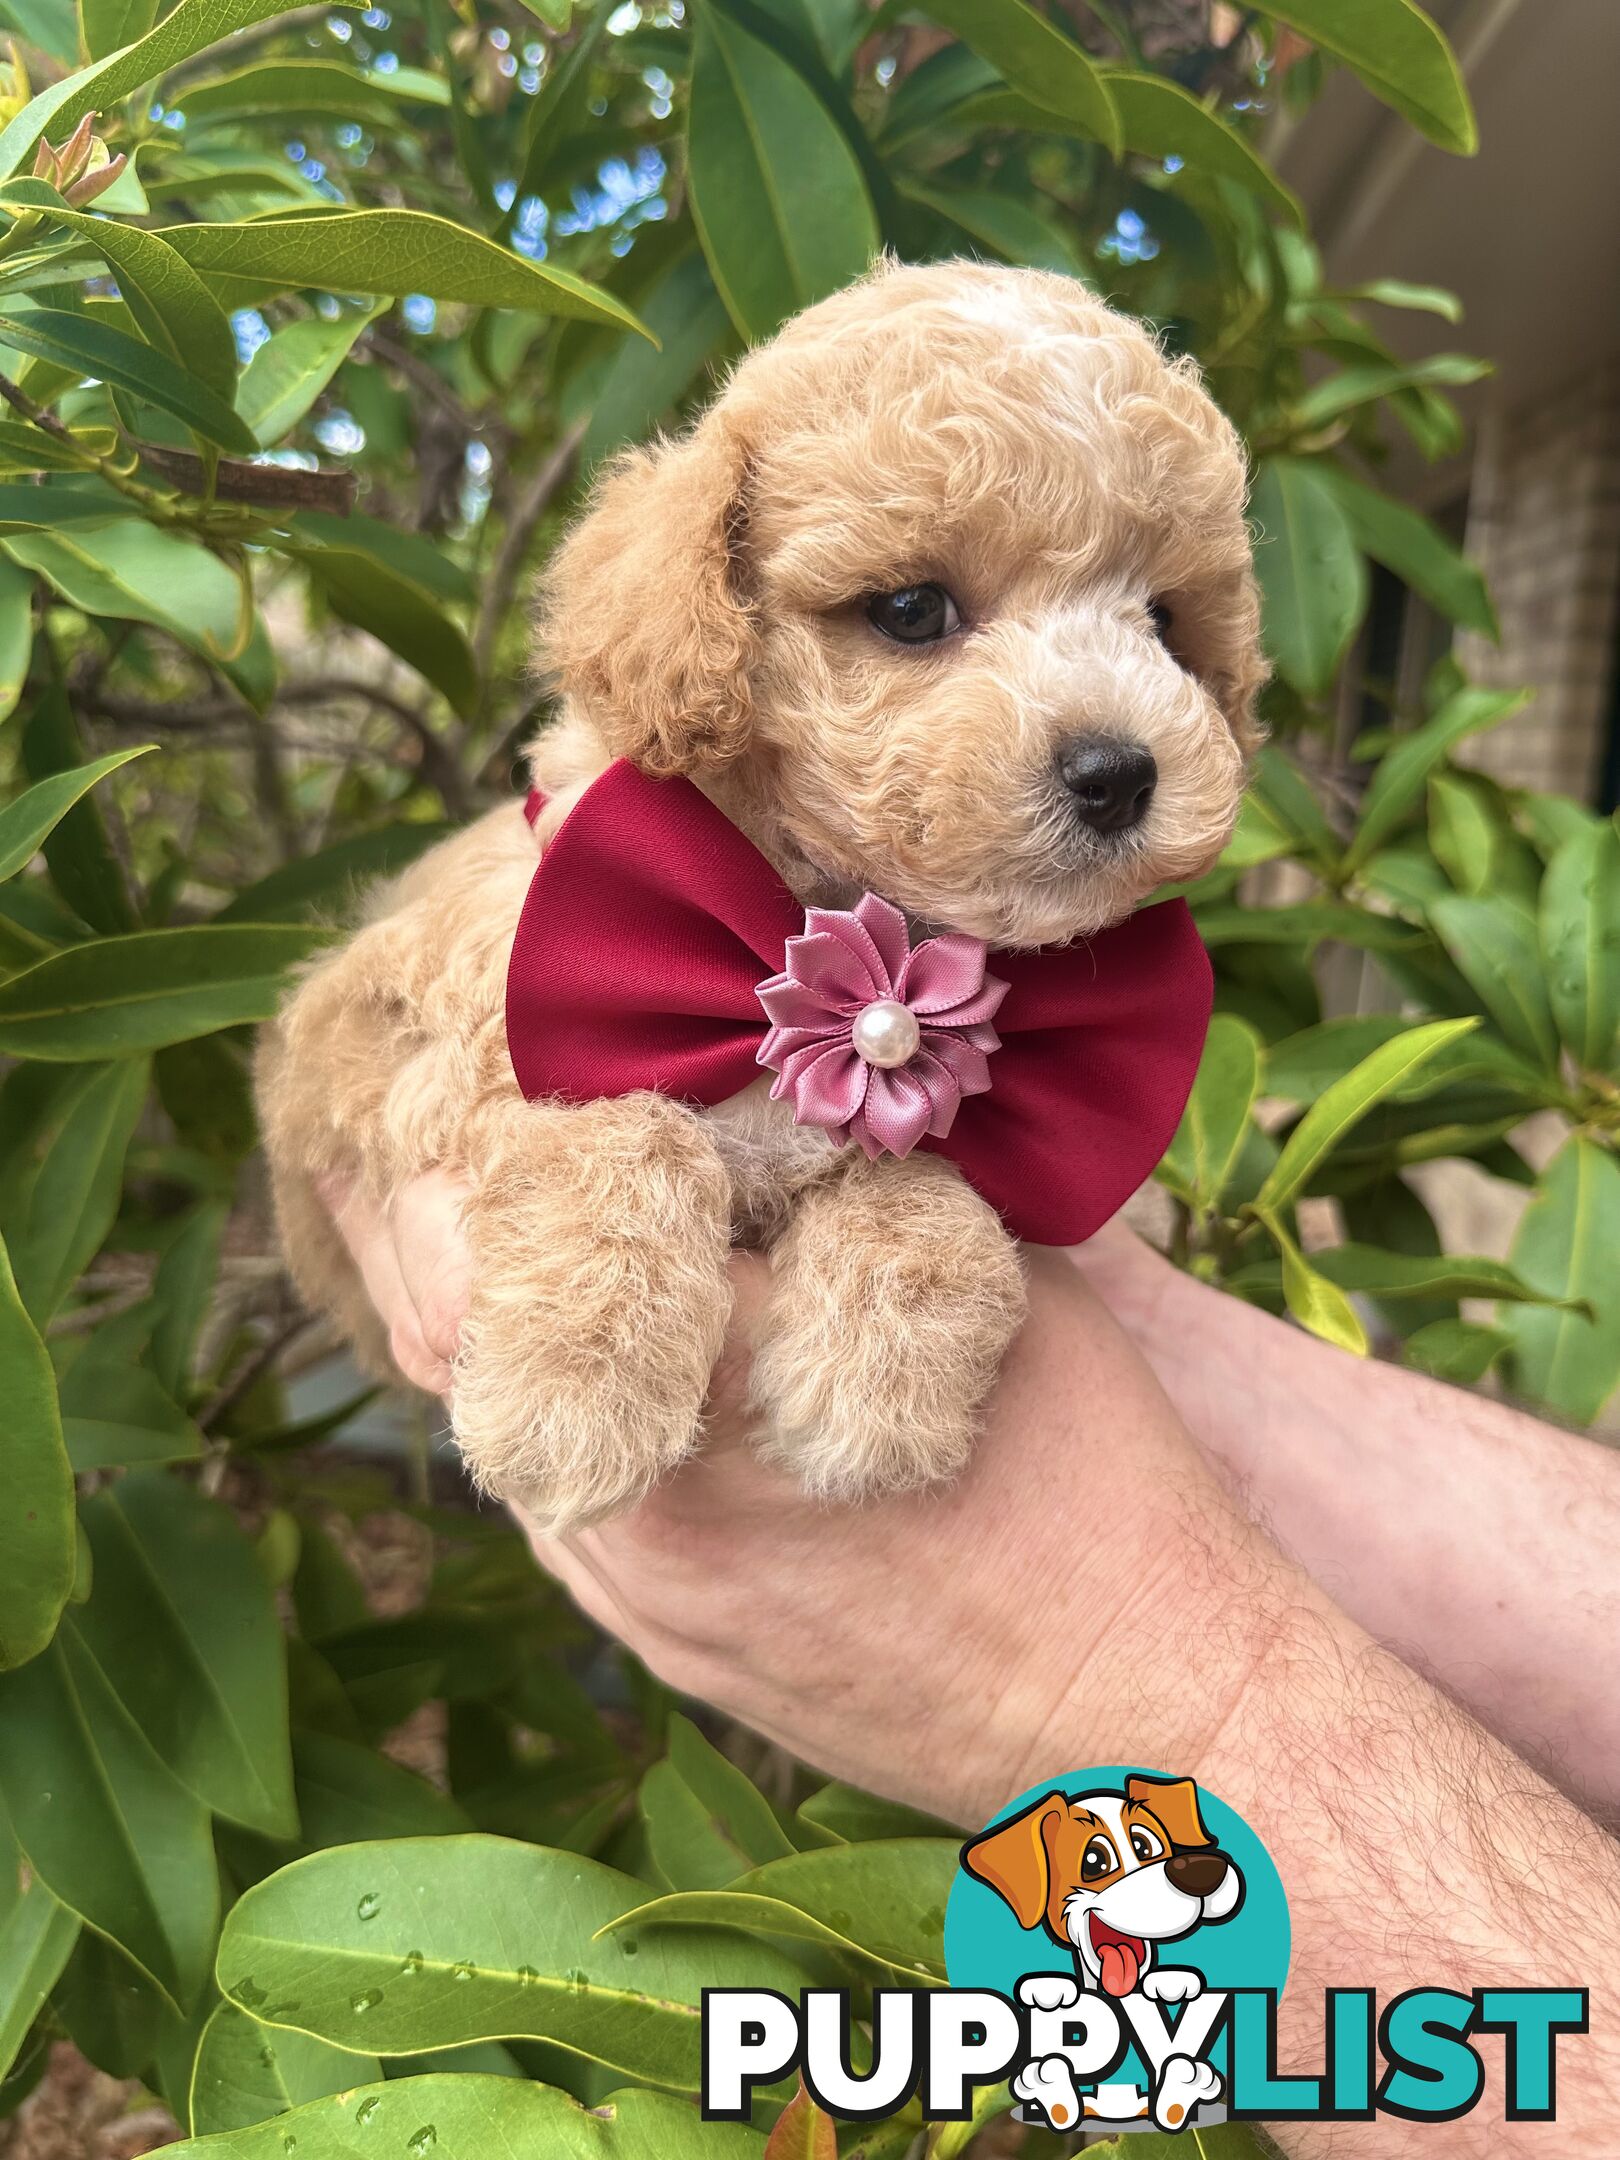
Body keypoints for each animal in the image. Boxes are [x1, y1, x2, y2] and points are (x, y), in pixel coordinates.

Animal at [257, 261, 1270, 1529]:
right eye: (911, 610)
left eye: (1169, 622)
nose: (1120, 772)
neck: (823, 930)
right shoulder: (392, 1041)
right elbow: (610, 1124)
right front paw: (574, 1382)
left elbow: (935, 1168)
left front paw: (882, 1381)